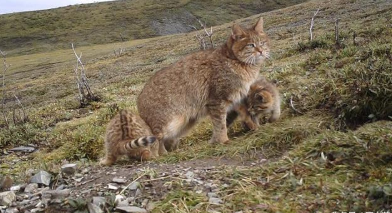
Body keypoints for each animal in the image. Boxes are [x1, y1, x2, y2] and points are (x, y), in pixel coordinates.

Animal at [137, 17, 270, 153]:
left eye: (262, 43)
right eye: (251, 45)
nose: (261, 51)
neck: (235, 61)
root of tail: (139, 98)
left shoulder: (236, 98)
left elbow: (245, 115)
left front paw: (255, 127)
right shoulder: (217, 100)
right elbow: (220, 125)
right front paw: (223, 141)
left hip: (184, 124)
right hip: (169, 124)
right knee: (155, 140)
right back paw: (162, 154)